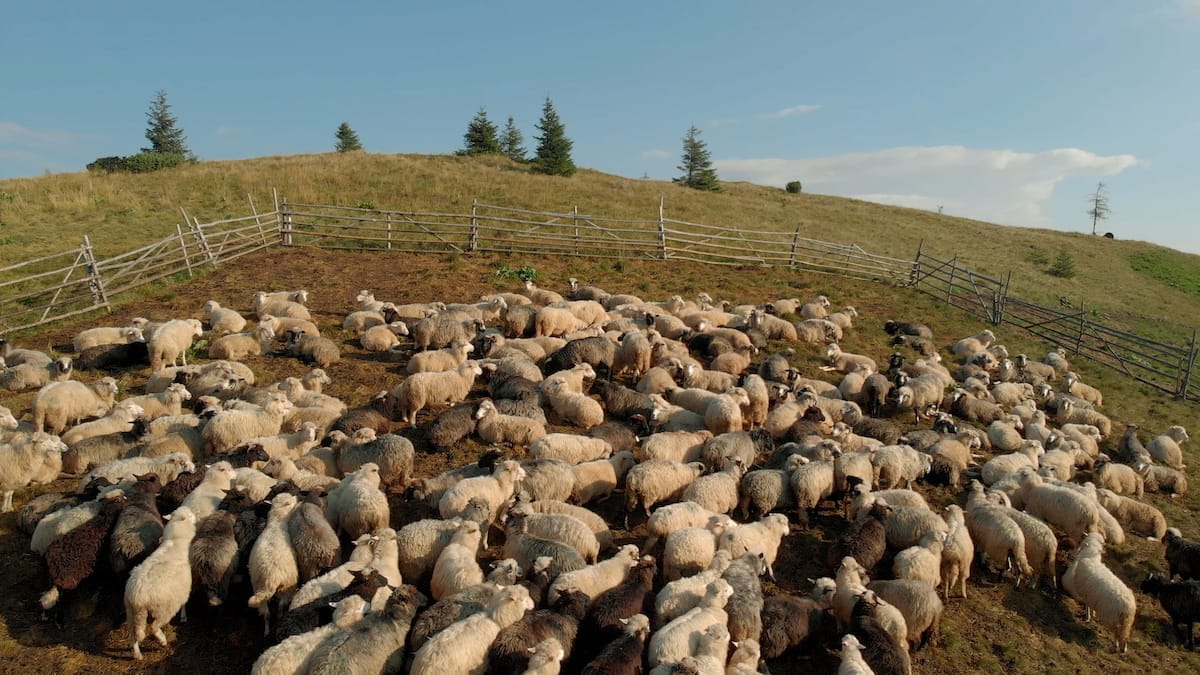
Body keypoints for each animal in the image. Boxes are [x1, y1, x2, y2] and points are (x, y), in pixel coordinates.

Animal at [123, 504, 198, 658]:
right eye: (189, 515)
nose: (197, 516)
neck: (176, 539)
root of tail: (137, 597)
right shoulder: (182, 588)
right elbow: (184, 602)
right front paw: (183, 616)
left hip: (130, 611)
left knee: (134, 634)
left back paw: (138, 655)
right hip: (164, 608)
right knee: (153, 627)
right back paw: (162, 640)